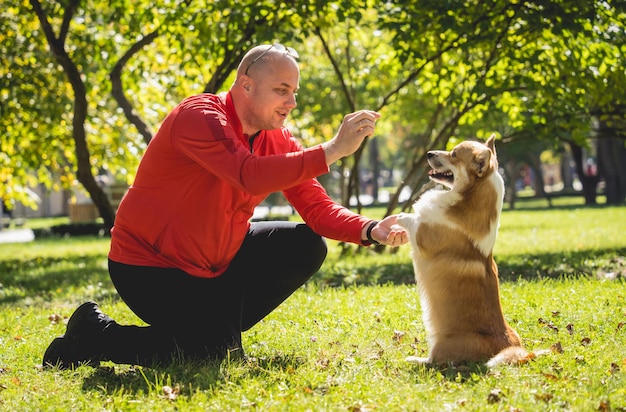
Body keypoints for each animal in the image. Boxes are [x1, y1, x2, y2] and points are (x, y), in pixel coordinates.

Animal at [398, 137, 532, 368]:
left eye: (453, 154)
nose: (429, 153)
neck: (465, 198)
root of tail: (506, 347)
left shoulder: (422, 237)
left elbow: (415, 220)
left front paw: (398, 218)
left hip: (442, 343)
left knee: (434, 360)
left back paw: (415, 358)